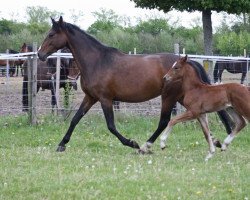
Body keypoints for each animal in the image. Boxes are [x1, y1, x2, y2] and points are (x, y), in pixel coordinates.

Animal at [37, 16, 232, 153]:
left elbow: (111, 126)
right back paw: (217, 141)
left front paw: (132, 143)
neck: (97, 61)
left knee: (164, 121)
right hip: (181, 97)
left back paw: (145, 146)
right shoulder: (90, 97)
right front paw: (62, 144)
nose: (40, 54)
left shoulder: (105, 99)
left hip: (169, 97)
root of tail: (186, 61)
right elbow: (75, 119)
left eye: (51, 34)